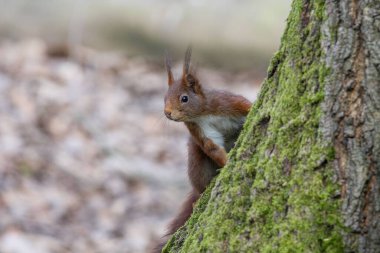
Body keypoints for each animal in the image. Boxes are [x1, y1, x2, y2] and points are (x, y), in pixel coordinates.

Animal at [153, 47, 251, 251]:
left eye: (184, 98)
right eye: (164, 98)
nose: (167, 113)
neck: (202, 114)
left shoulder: (228, 102)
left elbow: (247, 106)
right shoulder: (199, 131)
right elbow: (212, 148)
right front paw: (228, 163)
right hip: (197, 163)